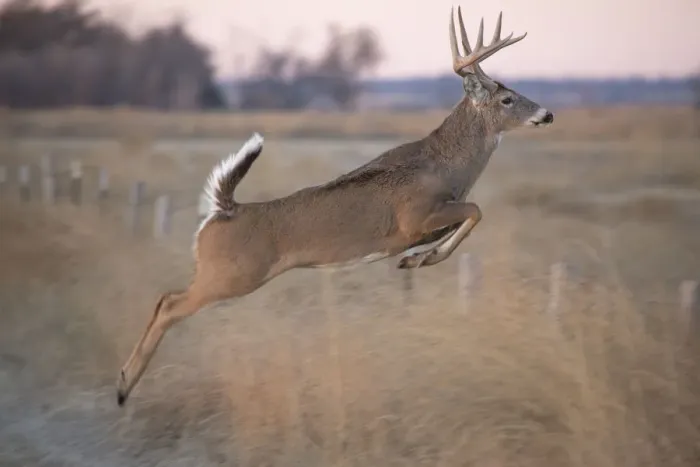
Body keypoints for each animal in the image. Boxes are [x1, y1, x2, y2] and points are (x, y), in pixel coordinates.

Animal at [116, 6, 554, 406]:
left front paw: (415, 260)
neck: (445, 166)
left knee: (164, 299)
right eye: (507, 98)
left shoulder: (428, 221)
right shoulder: (414, 218)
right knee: (169, 303)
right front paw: (418, 259)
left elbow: (463, 221)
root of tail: (224, 209)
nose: (547, 113)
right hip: (232, 274)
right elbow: (475, 211)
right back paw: (123, 386)